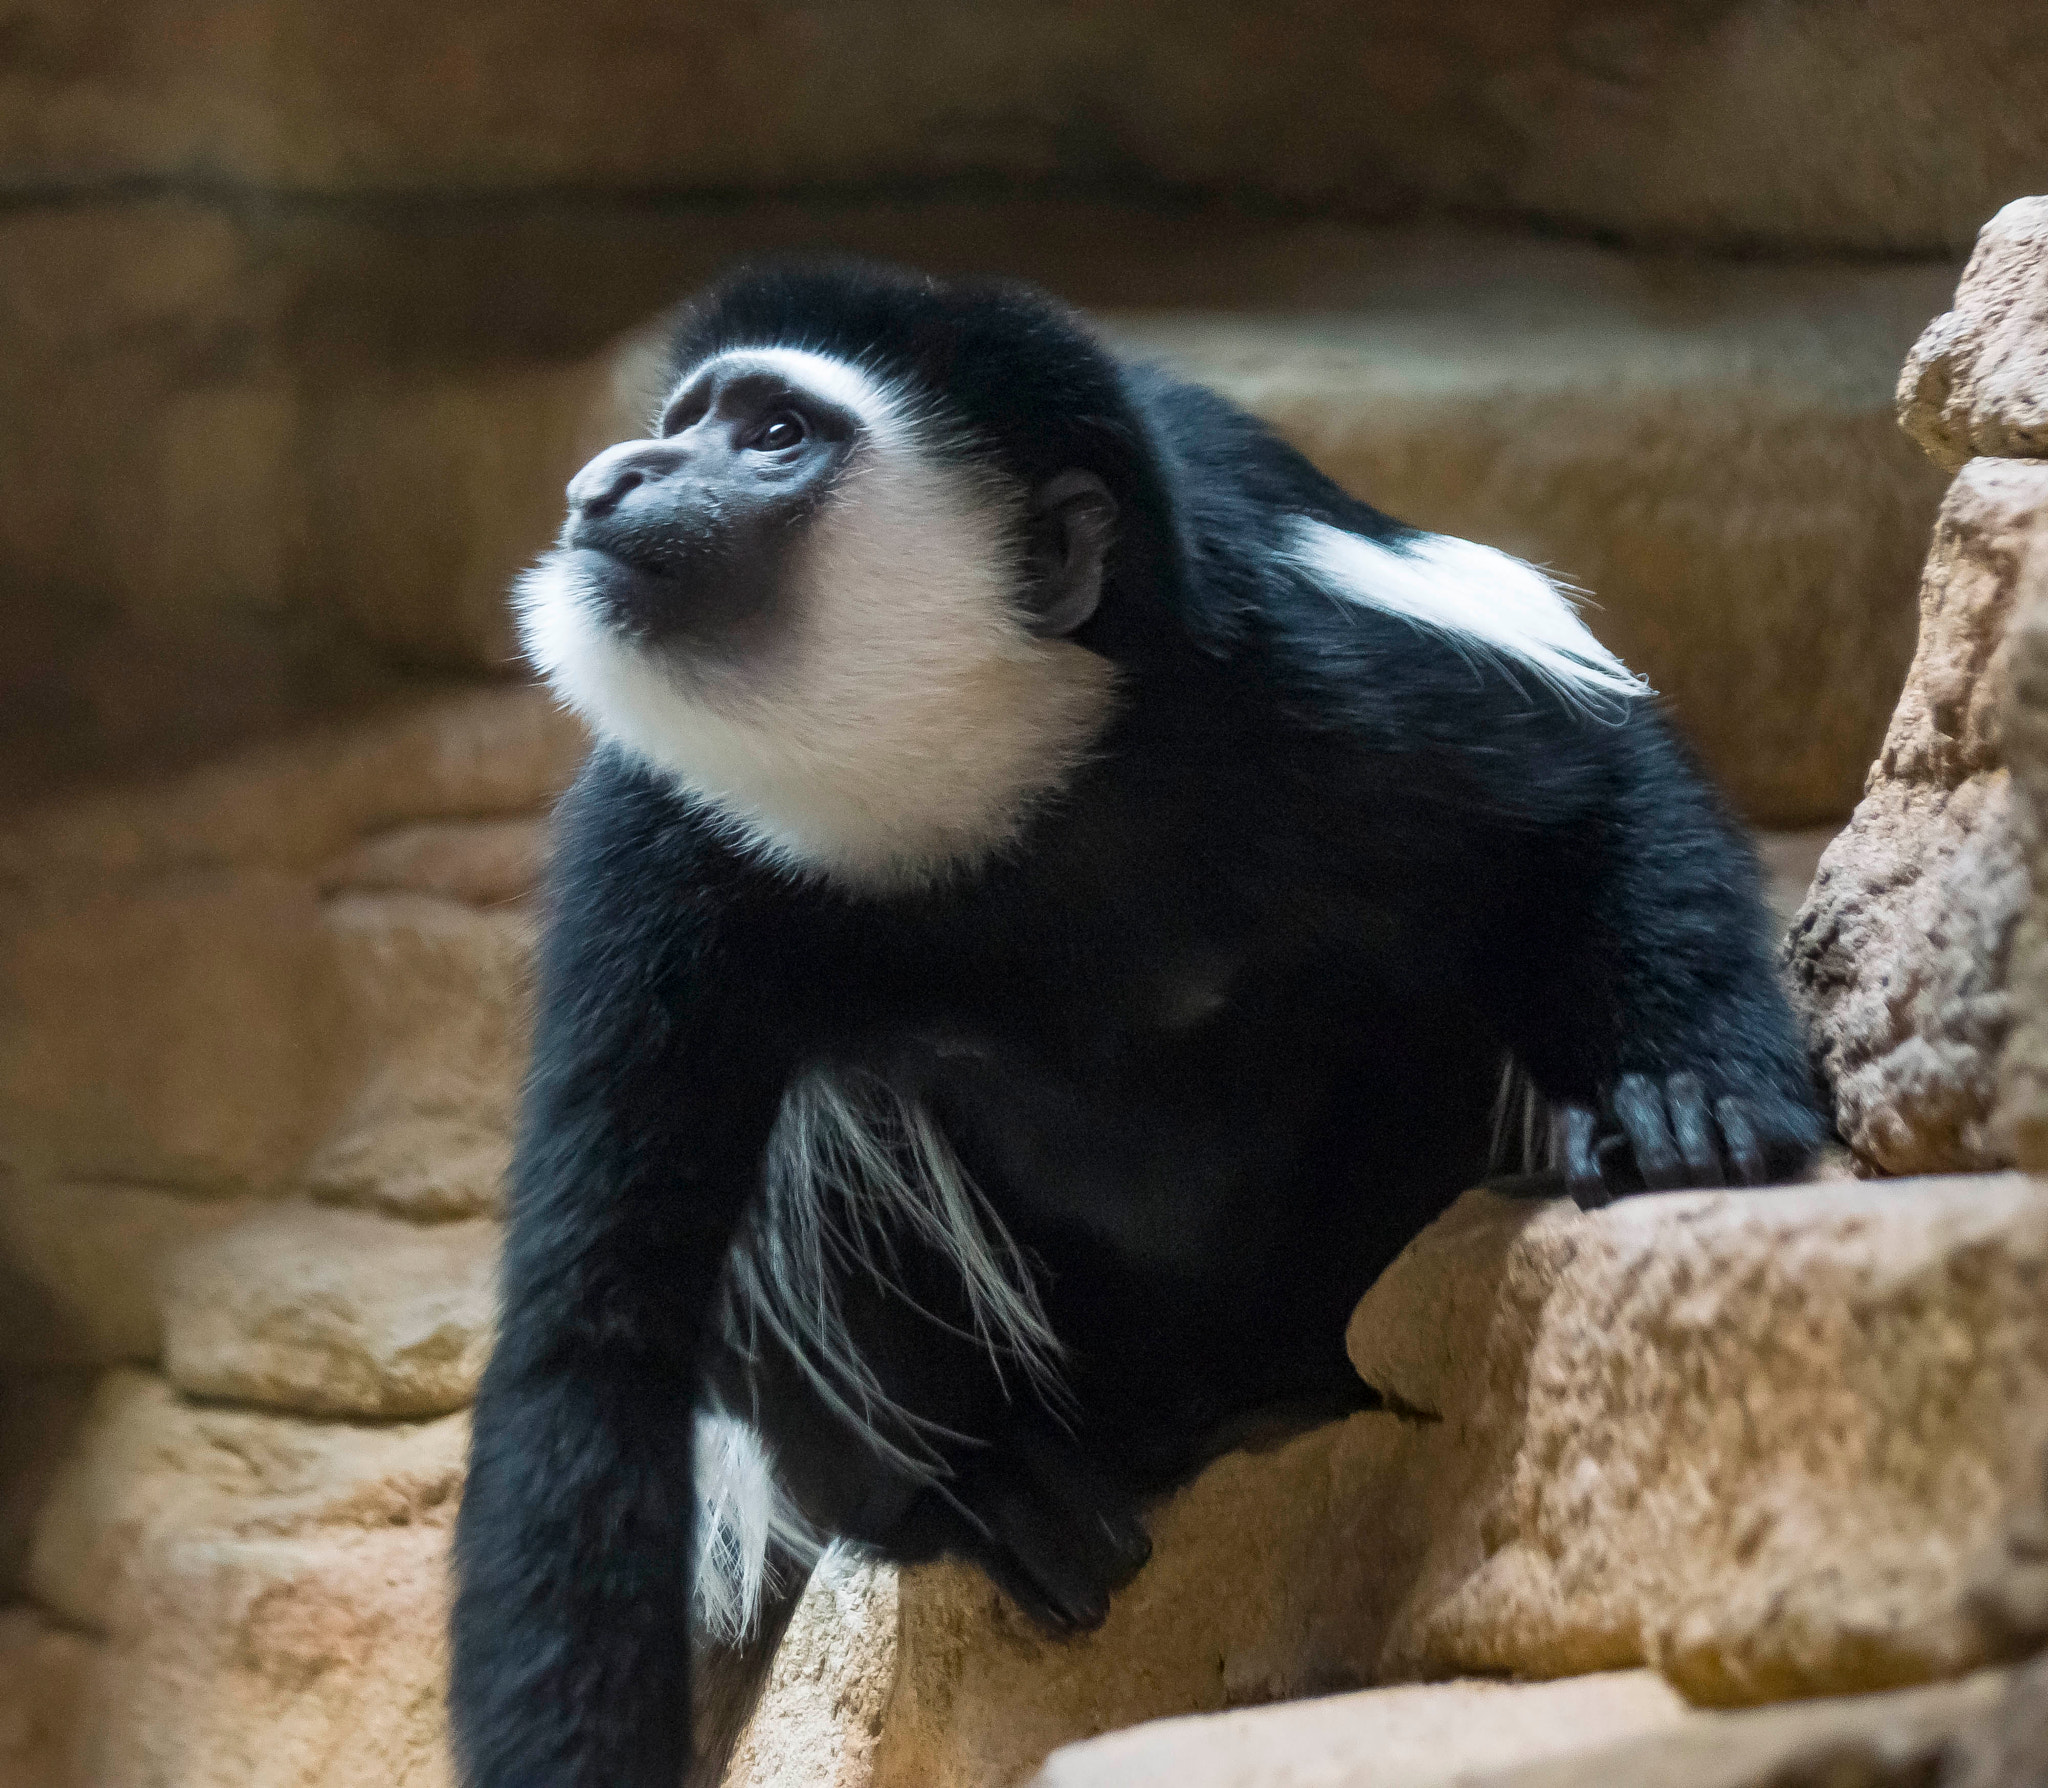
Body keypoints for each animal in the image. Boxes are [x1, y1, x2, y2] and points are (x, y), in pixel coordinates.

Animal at [450, 260, 1824, 1788]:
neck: (990, 784)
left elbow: (1591, 792)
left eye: (773, 436)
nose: (609, 479)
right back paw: (999, 1484)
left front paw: (1687, 1100)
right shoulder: (661, 851)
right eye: (683, 420)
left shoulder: (1315, 671)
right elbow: (599, 1329)